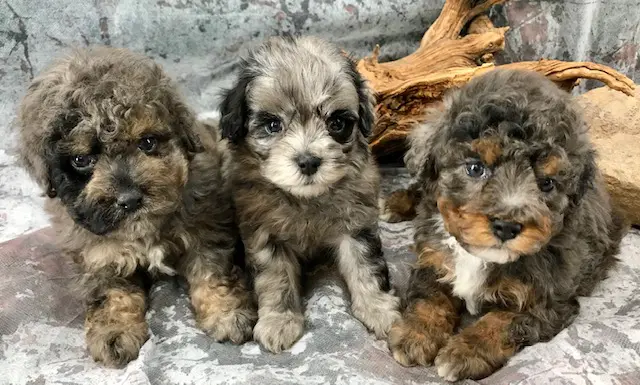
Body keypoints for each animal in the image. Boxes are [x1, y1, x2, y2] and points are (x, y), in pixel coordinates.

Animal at [15, 47, 255, 366]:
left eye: (148, 142)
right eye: (81, 160)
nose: (129, 199)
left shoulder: (206, 228)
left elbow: (211, 272)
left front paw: (227, 312)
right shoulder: (98, 257)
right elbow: (111, 295)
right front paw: (114, 331)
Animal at [220, 36, 400, 352]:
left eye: (336, 124)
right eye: (273, 125)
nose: (308, 162)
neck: (306, 199)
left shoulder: (356, 224)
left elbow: (366, 267)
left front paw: (378, 308)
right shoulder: (265, 235)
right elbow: (276, 279)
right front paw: (279, 321)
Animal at [382, 70, 628, 380]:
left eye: (546, 183)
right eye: (476, 168)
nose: (507, 227)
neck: (480, 256)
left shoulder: (549, 301)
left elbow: (503, 322)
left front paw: (465, 352)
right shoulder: (433, 259)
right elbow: (428, 297)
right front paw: (416, 335)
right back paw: (395, 203)